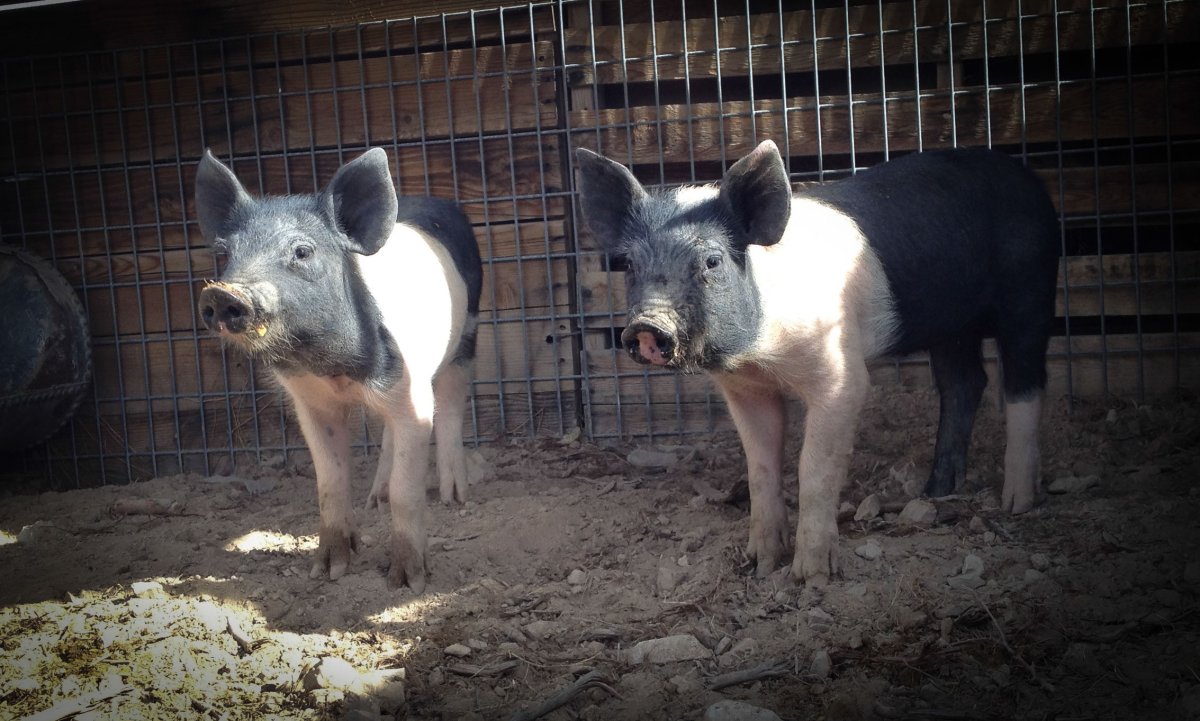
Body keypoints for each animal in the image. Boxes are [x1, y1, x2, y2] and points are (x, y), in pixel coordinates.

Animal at [195, 148, 482, 592]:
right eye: (227, 252)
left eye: (302, 251)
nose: (224, 293)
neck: (335, 370)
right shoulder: (310, 402)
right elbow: (330, 482)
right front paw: (328, 572)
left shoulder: (411, 391)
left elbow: (407, 488)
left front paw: (407, 583)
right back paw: (375, 499)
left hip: (468, 332)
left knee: (451, 403)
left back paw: (454, 496)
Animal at [575, 140, 1059, 586]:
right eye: (629, 265)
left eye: (711, 260)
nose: (647, 325)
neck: (761, 355)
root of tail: (1028, 179)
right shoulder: (746, 390)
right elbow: (761, 467)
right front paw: (760, 564)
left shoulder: (840, 378)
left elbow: (814, 467)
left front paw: (810, 576)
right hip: (951, 324)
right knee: (965, 383)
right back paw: (937, 492)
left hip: (1029, 287)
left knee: (1025, 382)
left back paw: (1016, 502)